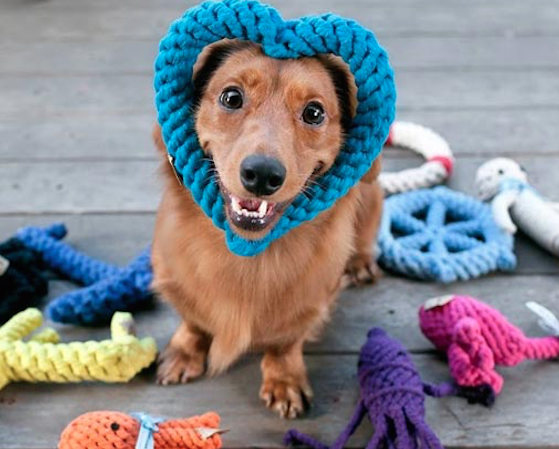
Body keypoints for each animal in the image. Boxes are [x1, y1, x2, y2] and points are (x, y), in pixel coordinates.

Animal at [151, 40, 382, 418]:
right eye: (231, 97)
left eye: (314, 113)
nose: (261, 175)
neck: (247, 256)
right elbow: (192, 319)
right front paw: (185, 351)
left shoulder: (310, 302)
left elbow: (285, 342)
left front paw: (284, 379)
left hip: (372, 194)